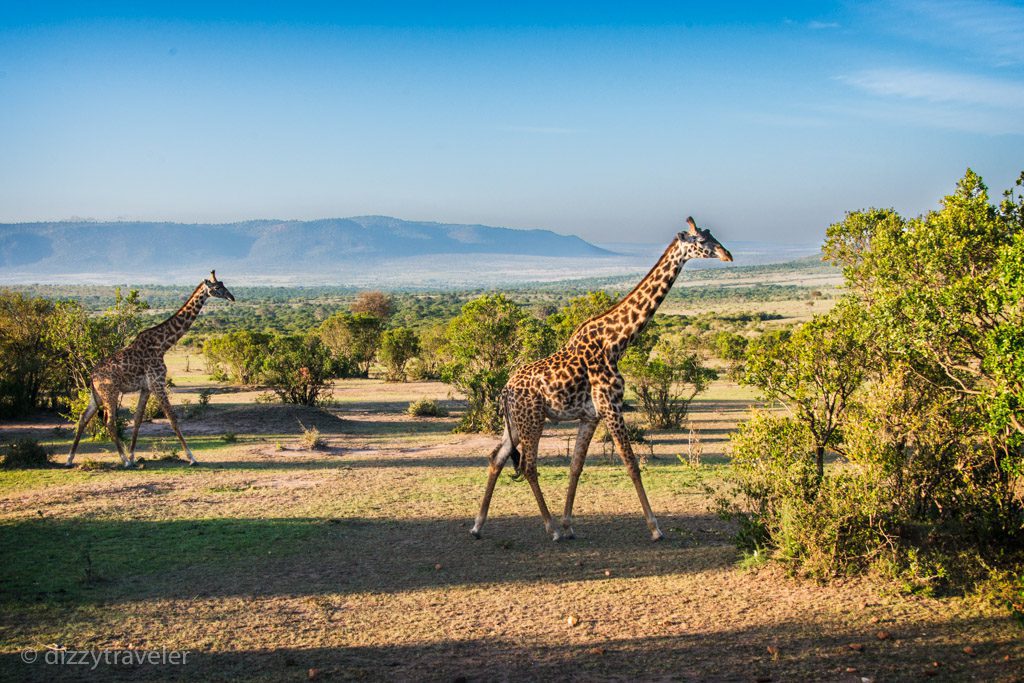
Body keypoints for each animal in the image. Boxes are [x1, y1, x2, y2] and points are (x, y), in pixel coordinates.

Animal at [66, 272, 235, 471]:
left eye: (223, 284)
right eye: (217, 288)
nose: (231, 297)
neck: (163, 345)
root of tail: (92, 376)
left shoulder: (146, 387)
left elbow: (138, 419)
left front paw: (133, 456)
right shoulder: (158, 382)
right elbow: (172, 418)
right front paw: (192, 457)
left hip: (97, 395)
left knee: (83, 417)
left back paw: (70, 459)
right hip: (110, 392)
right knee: (109, 421)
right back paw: (123, 460)